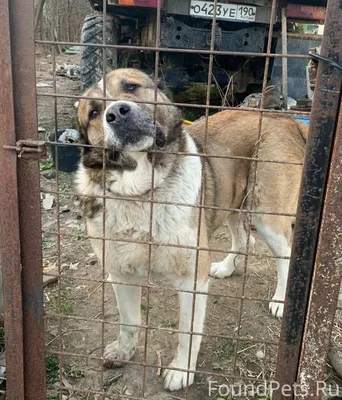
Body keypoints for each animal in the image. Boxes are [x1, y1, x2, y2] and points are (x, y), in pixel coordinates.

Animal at [75, 69, 308, 390]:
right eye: (94, 113)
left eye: (131, 87)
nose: (117, 112)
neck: (143, 192)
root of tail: (285, 118)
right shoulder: (120, 273)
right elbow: (129, 321)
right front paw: (124, 350)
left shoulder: (191, 280)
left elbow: (187, 331)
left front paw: (181, 370)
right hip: (229, 200)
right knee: (243, 239)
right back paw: (226, 267)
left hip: (266, 214)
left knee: (284, 254)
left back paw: (280, 300)